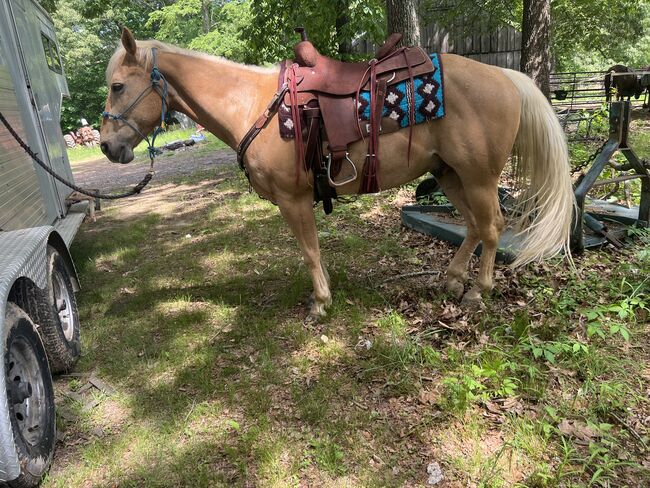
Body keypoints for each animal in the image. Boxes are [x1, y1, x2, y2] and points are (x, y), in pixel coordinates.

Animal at [98, 28, 568, 322]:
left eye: (118, 86)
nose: (105, 146)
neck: (251, 105)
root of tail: (505, 76)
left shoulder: (293, 199)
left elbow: (309, 251)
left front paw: (320, 303)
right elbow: (315, 250)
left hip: (479, 178)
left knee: (492, 227)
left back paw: (477, 291)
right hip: (450, 175)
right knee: (472, 226)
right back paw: (453, 280)